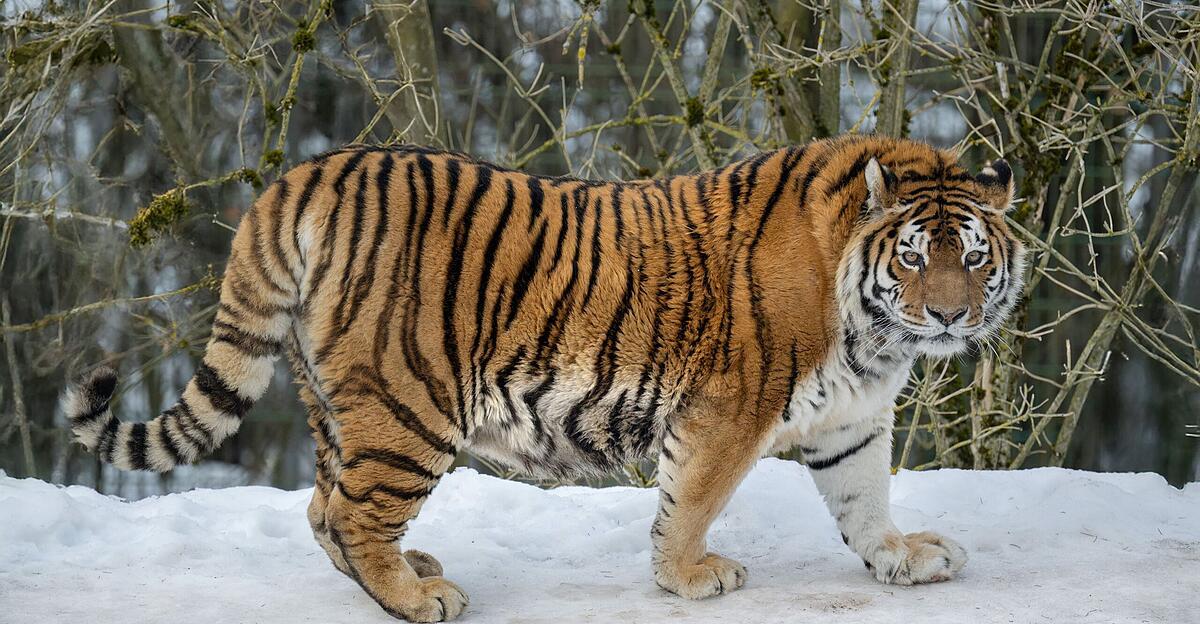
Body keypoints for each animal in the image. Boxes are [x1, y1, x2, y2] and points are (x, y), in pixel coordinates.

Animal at [64, 134, 1024, 622]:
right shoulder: (728, 409)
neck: (871, 333)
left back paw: (407, 571)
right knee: (350, 514)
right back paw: (420, 597)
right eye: (912, 259)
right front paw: (686, 577)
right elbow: (693, 500)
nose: (949, 316)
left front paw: (902, 556)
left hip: (335, 401)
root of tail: (306, 172)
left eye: (974, 259)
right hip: (408, 406)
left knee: (322, 509)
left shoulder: (850, 417)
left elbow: (864, 497)